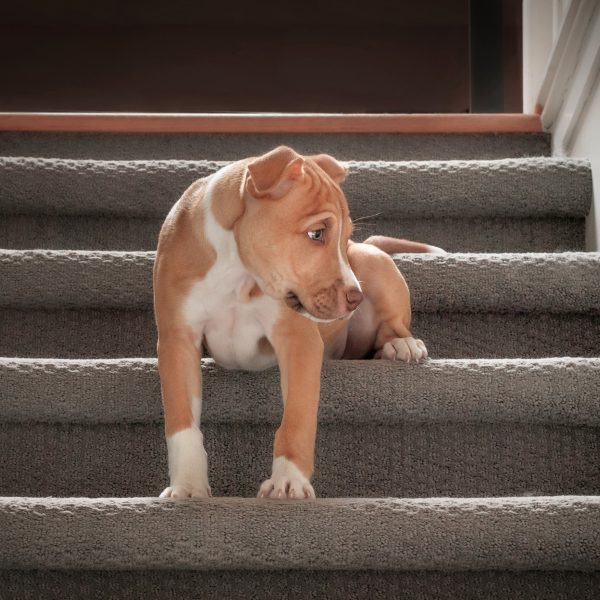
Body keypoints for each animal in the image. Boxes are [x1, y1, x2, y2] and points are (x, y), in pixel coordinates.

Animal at [154, 146, 436, 502]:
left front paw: (288, 480)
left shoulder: (298, 340)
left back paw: (401, 344)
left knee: (393, 324)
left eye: (344, 237)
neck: (237, 273)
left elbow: (296, 420)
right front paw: (188, 486)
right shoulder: (178, 340)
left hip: (374, 263)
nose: (356, 298)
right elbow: (181, 423)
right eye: (317, 234)